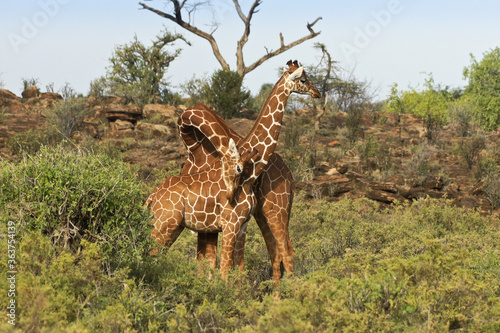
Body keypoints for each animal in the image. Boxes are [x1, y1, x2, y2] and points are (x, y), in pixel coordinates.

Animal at [145, 60, 320, 278]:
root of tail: (152, 196)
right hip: (166, 223)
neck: (250, 175)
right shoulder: (229, 224)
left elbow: (236, 270)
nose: (317, 92)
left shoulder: (240, 224)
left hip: (174, 225)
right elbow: (225, 271)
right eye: (303, 79)